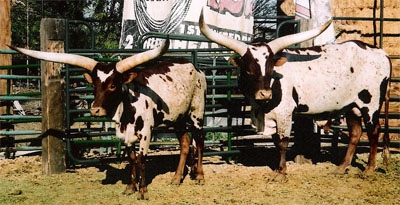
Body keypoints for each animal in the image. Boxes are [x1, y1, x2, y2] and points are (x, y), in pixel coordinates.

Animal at [10, 38, 206, 199]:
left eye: (113, 85)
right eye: (94, 85)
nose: (95, 110)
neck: (128, 107)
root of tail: (194, 67)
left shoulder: (145, 132)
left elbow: (142, 159)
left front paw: (143, 191)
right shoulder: (125, 135)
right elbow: (132, 158)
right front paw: (130, 188)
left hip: (197, 113)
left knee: (199, 141)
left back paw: (199, 176)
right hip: (178, 118)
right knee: (185, 143)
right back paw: (176, 178)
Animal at [200, 9, 390, 180]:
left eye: (271, 69)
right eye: (248, 70)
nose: (265, 94)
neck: (260, 108)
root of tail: (382, 53)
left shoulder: (284, 113)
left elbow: (282, 142)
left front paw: (281, 172)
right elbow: (276, 141)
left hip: (370, 104)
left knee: (374, 131)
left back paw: (370, 169)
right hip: (351, 106)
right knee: (356, 133)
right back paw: (342, 167)